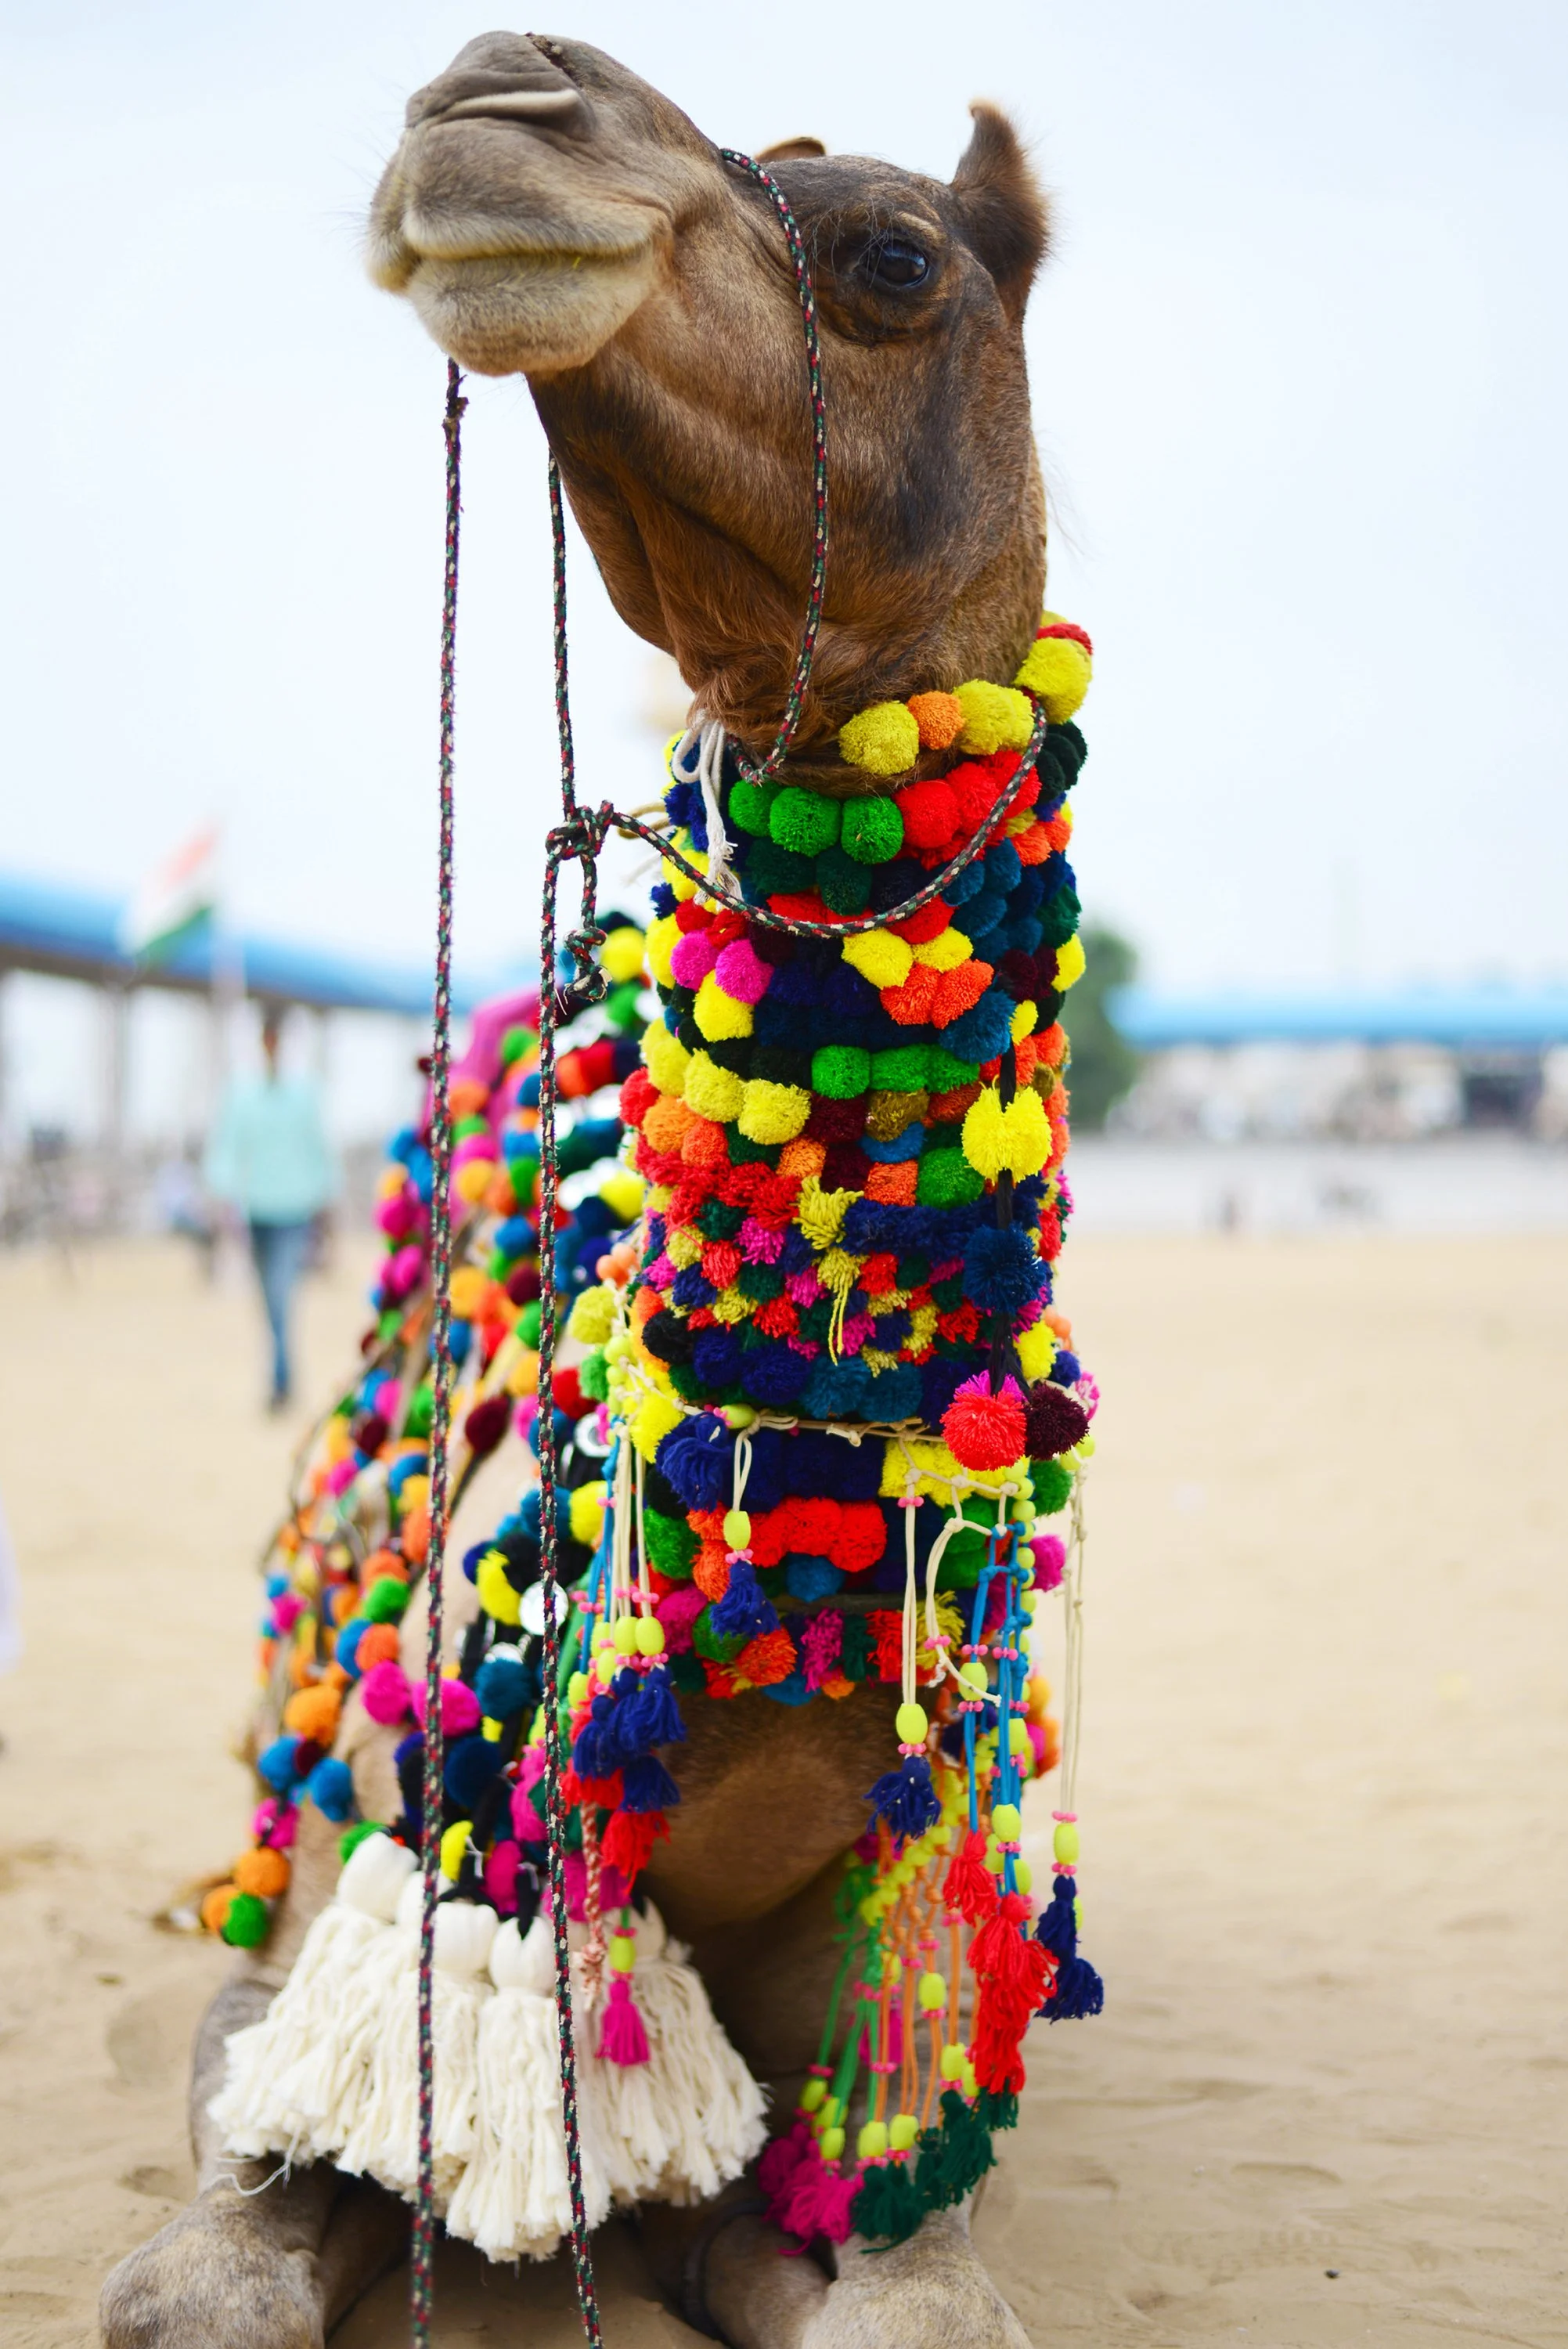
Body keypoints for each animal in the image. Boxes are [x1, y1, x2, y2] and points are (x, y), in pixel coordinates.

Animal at [102, 33, 1067, 2348]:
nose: (493, 90)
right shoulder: (349, 1932)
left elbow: (899, 2284)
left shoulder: (895, 2067)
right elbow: (202, 2272)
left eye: (894, 256)